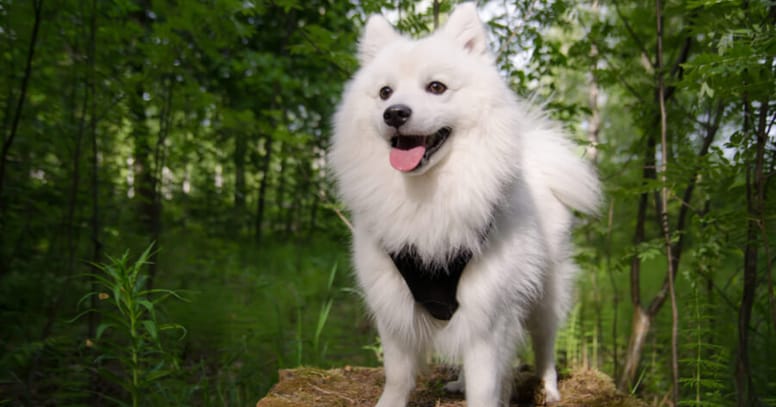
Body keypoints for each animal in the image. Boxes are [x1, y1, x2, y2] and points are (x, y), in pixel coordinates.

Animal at [328, 3, 600, 407]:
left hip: (545, 295)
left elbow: (485, 384)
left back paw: (549, 388)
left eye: (436, 87)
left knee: (544, 345)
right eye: (384, 92)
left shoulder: (488, 313)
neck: (428, 195)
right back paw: (458, 382)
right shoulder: (393, 304)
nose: (395, 113)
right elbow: (397, 376)